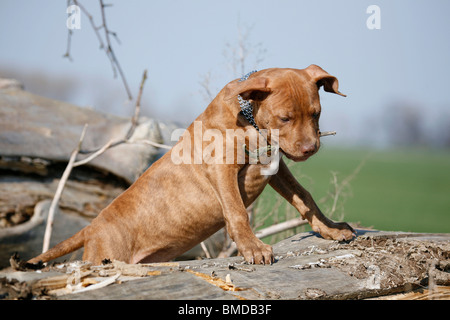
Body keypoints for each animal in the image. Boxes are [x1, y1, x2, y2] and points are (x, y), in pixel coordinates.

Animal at [29, 64, 356, 264]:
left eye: (316, 113)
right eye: (284, 118)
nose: (310, 148)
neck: (248, 116)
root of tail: (91, 228)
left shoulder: (276, 168)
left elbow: (304, 198)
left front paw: (330, 229)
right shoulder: (221, 168)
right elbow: (237, 212)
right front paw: (252, 247)